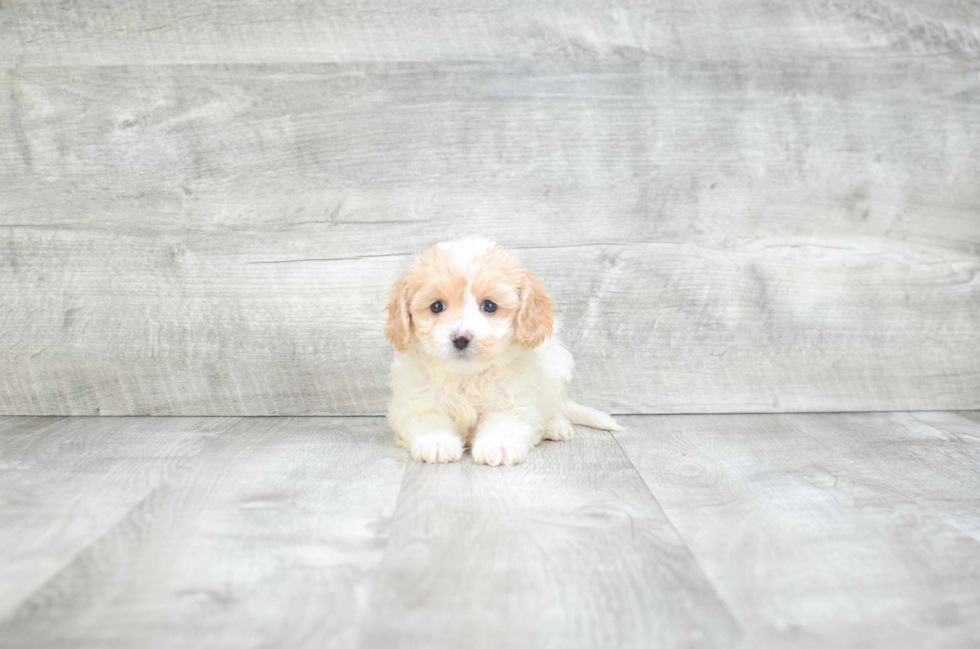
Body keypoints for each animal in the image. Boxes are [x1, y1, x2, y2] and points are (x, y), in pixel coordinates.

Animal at [382, 235, 620, 464]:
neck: (466, 376)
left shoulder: (514, 399)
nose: (461, 338)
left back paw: (556, 426)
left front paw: (498, 446)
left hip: (554, 367)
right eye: (437, 306)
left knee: (554, 407)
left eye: (489, 305)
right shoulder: (415, 400)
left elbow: (505, 423)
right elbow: (428, 418)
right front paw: (436, 442)